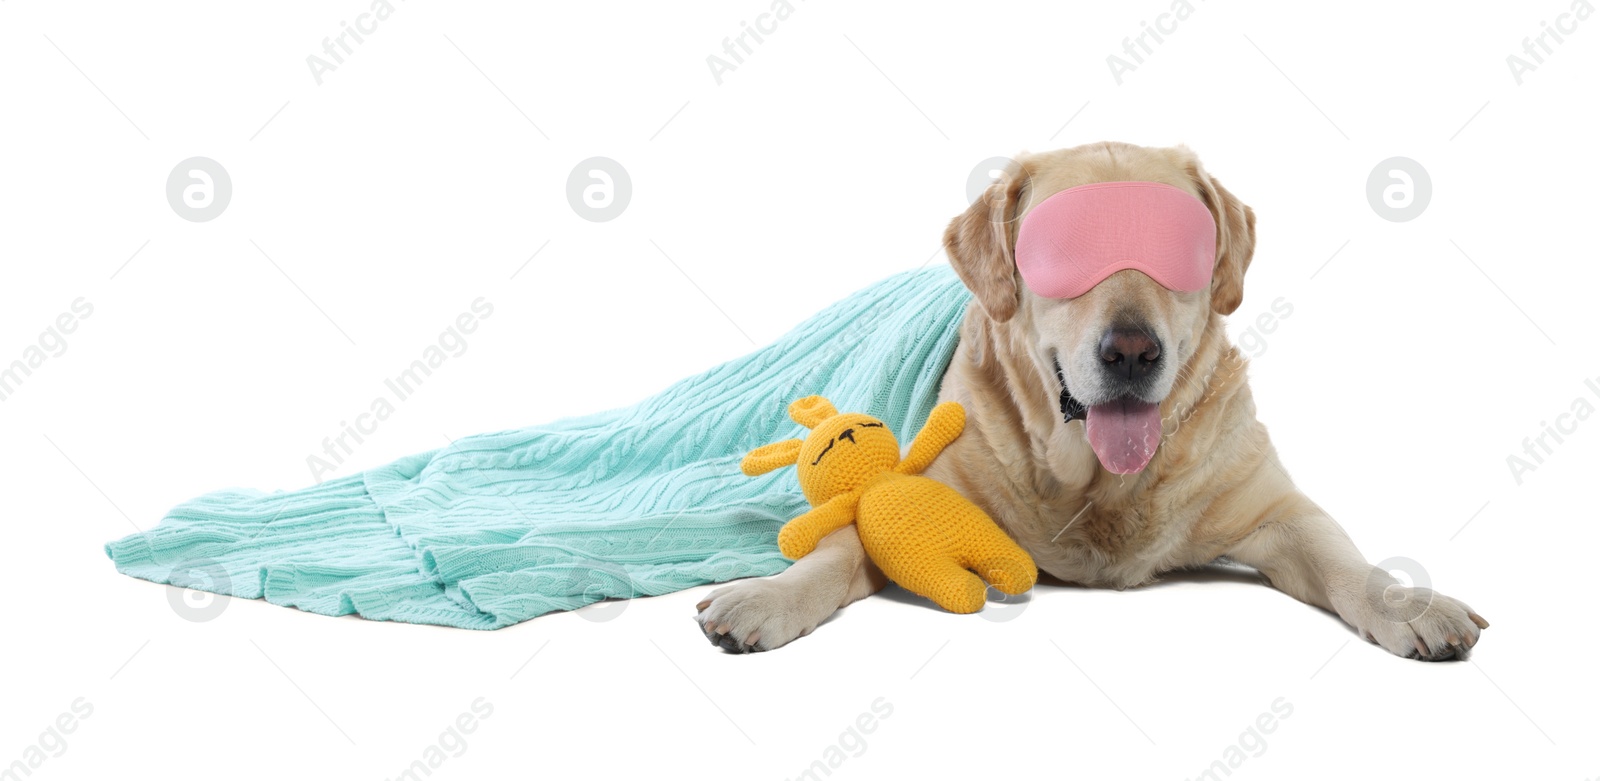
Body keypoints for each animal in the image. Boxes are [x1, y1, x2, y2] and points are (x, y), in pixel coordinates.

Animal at [694, 141, 1491, 659]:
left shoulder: (1276, 509)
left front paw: (1412, 604)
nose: (1133, 352)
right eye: (1064, 249)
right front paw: (766, 595)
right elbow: (838, 548)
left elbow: (1343, 558)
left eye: (1178, 247)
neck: (1099, 485)